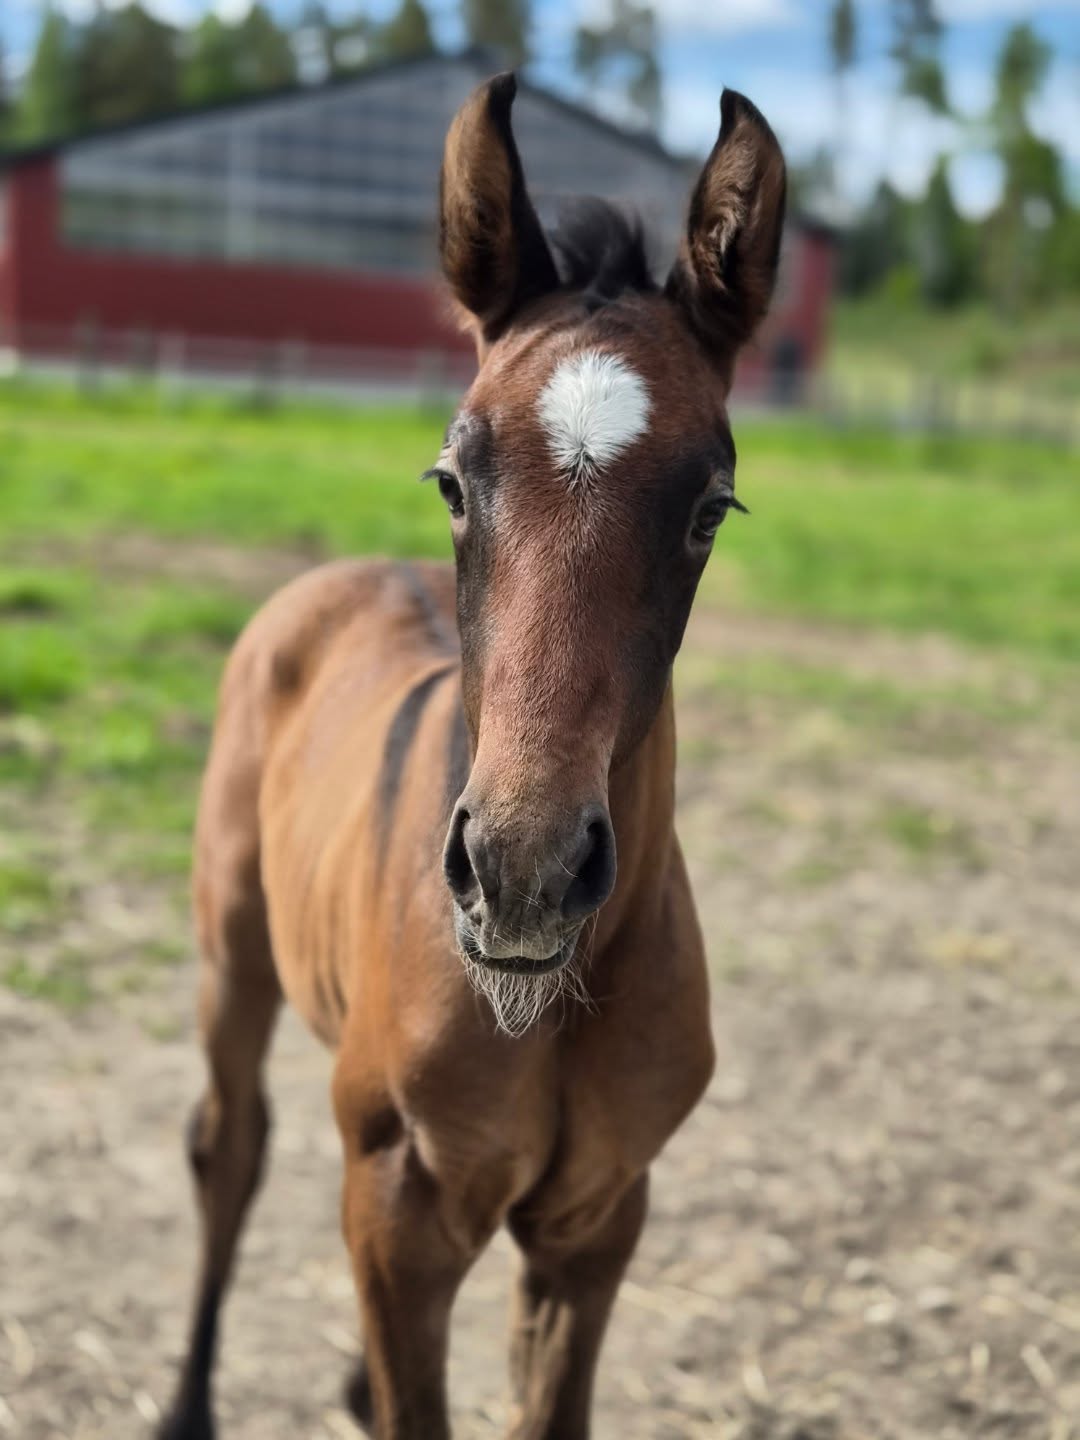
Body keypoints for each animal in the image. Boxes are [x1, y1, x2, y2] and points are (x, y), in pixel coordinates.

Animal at [159, 72, 785, 1440]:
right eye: (453, 479)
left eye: (710, 508)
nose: (523, 874)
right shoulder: (398, 1209)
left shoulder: (597, 1221)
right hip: (233, 954)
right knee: (229, 1147)